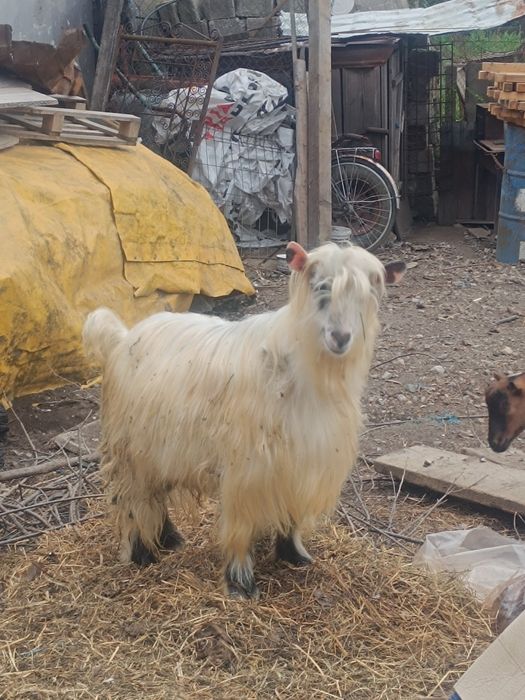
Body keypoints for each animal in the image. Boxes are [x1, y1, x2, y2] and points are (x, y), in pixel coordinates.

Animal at [83, 241, 406, 599]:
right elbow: (240, 525)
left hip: (159, 448)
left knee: (155, 494)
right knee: (133, 501)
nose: (340, 337)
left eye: (369, 294)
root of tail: (122, 337)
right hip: (128, 451)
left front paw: (294, 554)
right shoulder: (246, 470)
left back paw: (169, 538)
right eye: (320, 286)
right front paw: (240, 583)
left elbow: (291, 516)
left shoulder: (297, 464)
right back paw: (142, 554)